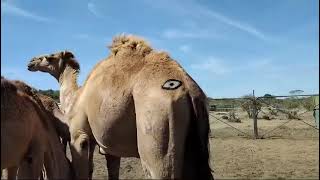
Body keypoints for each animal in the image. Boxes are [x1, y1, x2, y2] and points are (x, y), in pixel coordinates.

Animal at [27, 34, 212, 179]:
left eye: (49, 57)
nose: (31, 62)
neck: (76, 96)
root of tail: (187, 87)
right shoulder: (108, 146)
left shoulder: (79, 136)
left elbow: (82, 171)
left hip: (158, 129)